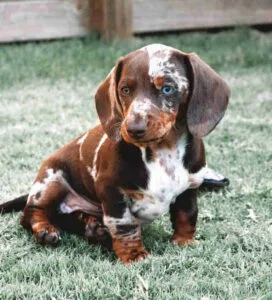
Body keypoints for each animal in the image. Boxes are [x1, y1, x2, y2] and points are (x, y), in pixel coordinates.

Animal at [0, 44, 231, 262]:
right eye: (125, 89)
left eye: (167, 88)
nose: (134, 128)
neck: (164, 150)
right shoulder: (112, 190)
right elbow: (125, 226)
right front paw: (134, 255)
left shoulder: (190, 186)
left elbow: (187, 215)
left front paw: (184, 241)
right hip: (51, 180)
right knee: (31, 212)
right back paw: (46, 230)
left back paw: (94, 229)